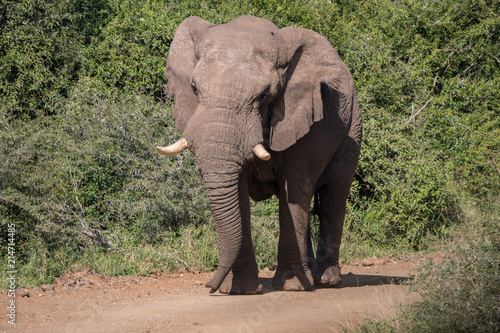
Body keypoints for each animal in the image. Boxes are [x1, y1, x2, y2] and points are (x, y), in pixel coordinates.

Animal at [155, 16, 360, 294]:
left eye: (264, 96)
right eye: (194, 89)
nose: (208, 285)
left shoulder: (306, 120)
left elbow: (293, 192)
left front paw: (292, 287)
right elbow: (238, 195)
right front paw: (238, 290)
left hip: (352, 130)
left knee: (333, 197)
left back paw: (326, 281)